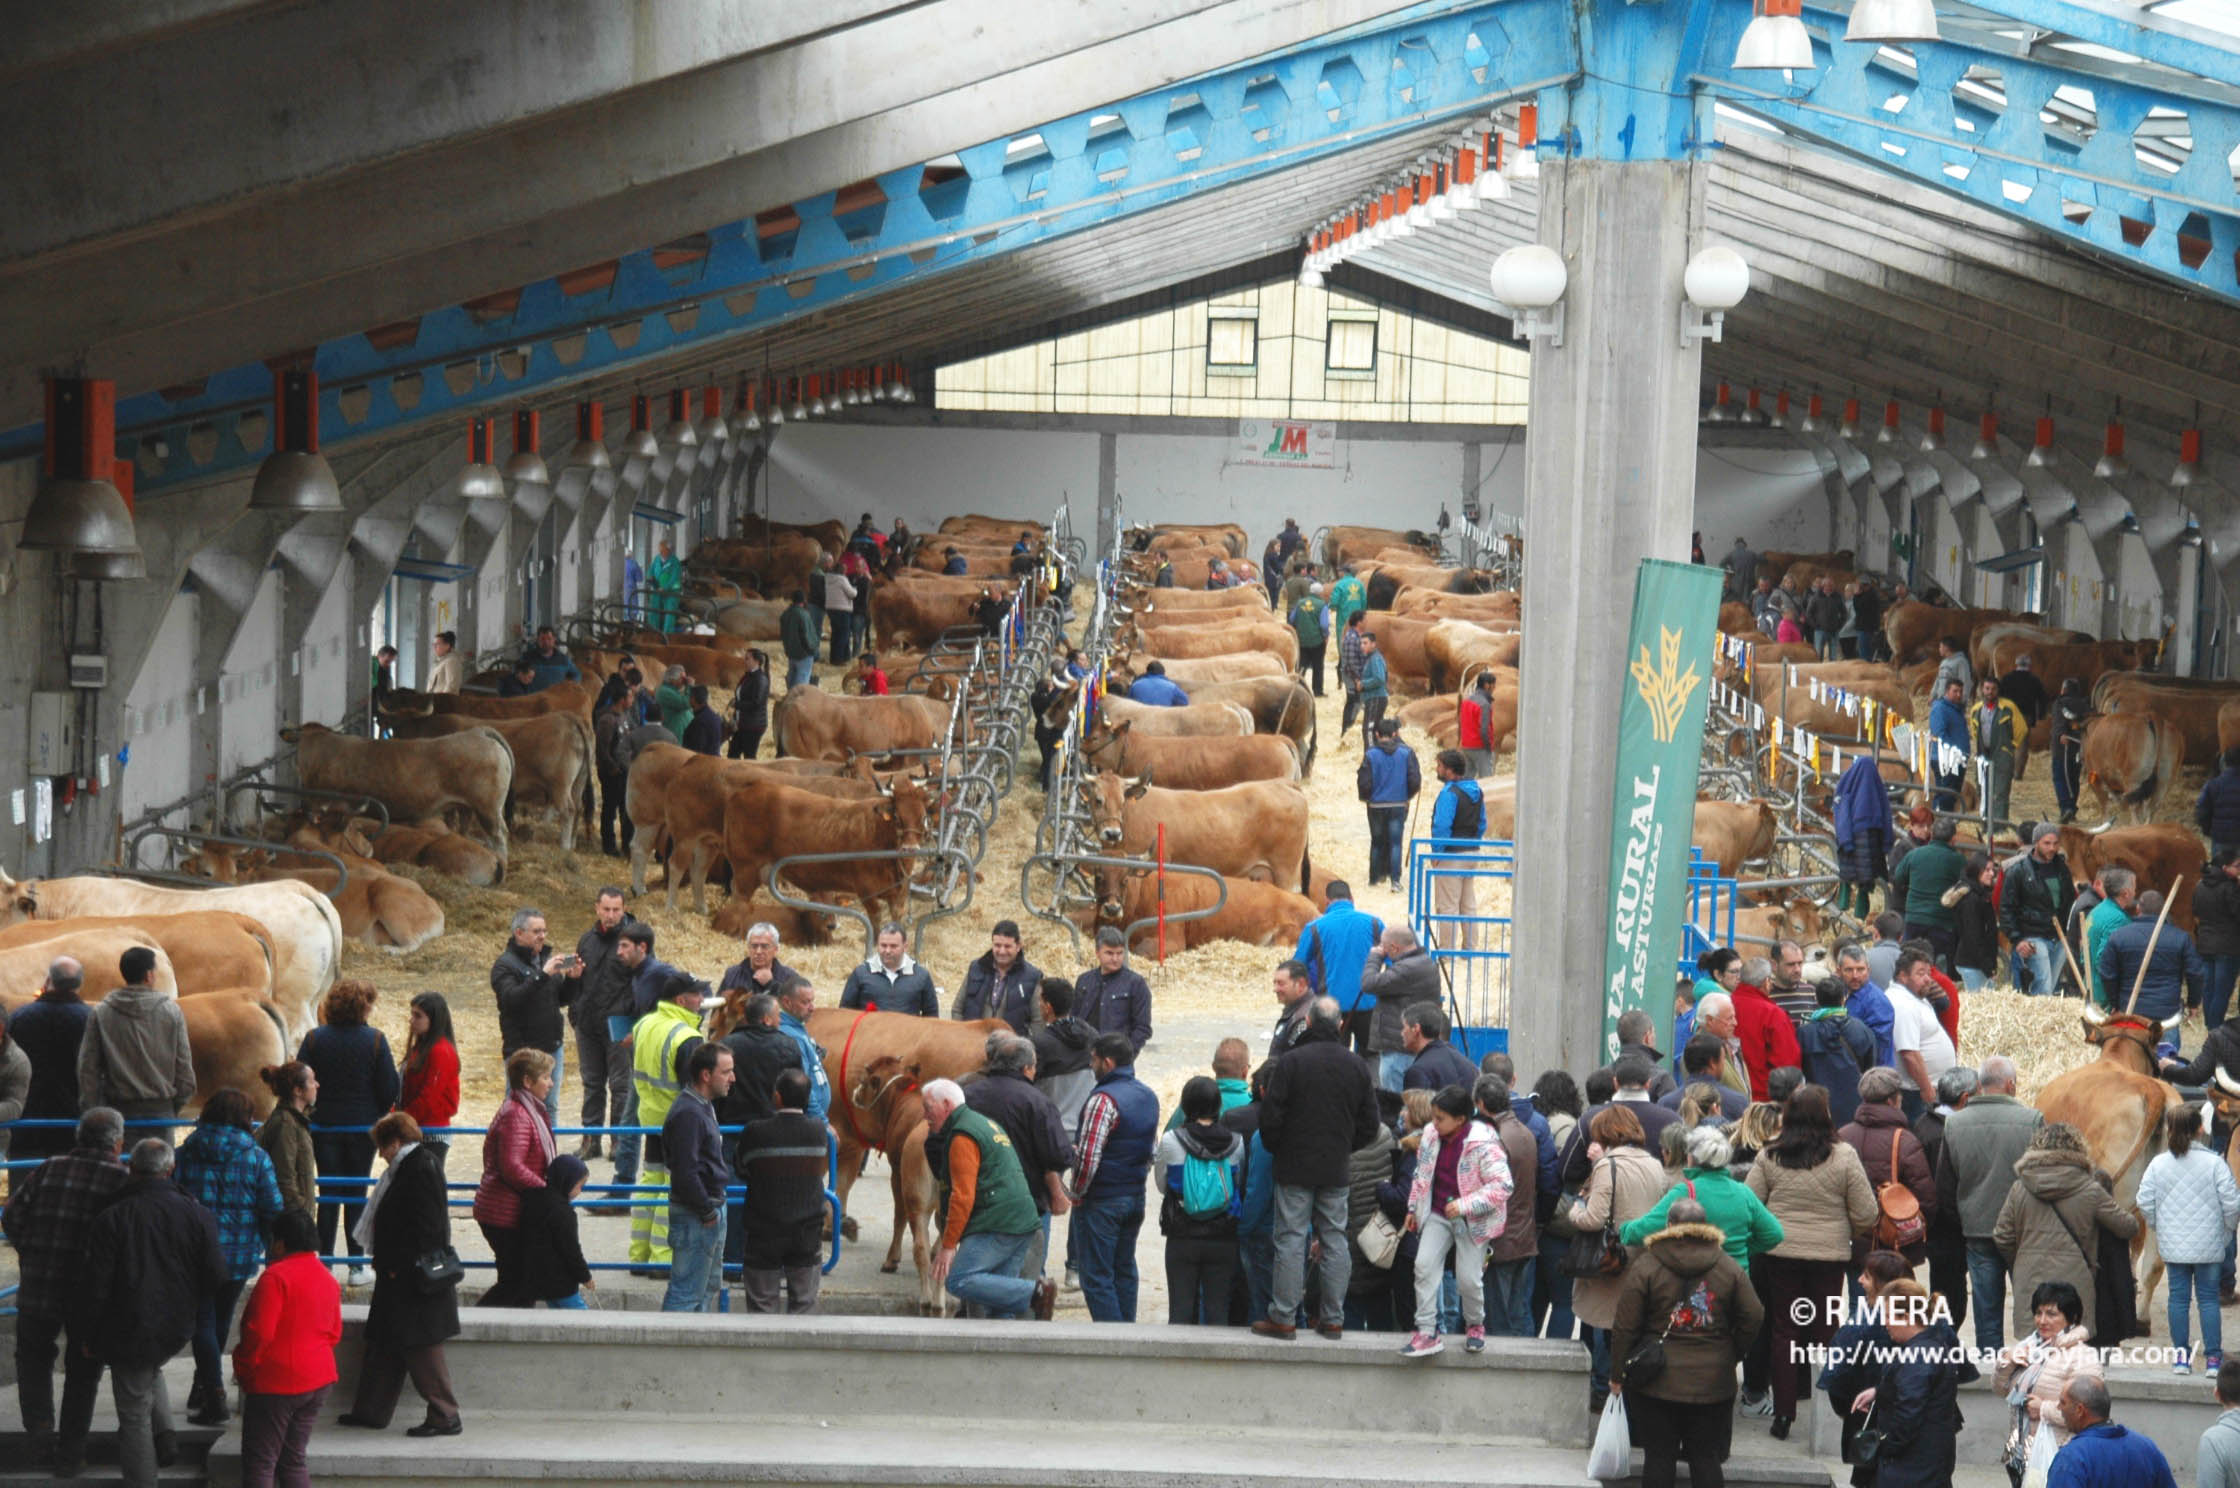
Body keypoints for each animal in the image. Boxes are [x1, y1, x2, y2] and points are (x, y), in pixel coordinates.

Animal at [1079, 860, 1317, 954]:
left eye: (1125, 879)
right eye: (1098, 878)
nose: (1111, 908)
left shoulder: (1171, 940)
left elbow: (1139, 950)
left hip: (1284, 936)